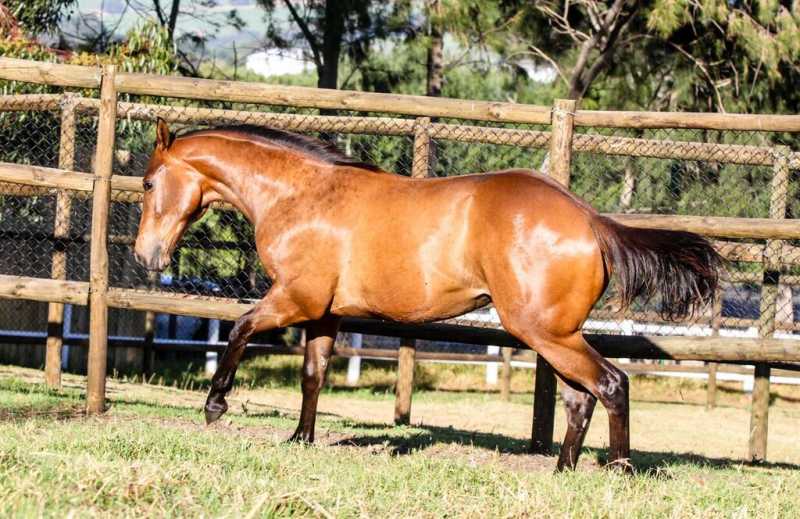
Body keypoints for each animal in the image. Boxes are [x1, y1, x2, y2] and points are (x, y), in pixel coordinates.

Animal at [134, 119, 722, 471]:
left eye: (146, 183)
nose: (146, 256)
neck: (300, 195)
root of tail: (589, 220)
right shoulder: (324, 314)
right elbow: (313, 375)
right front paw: (300, 439)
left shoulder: (294, 299)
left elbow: (238, 328)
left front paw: (214, 406)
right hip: (555, 334)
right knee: (582, 396)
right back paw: (562, 470)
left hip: (543, 331)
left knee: (611, 383)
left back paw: (619, 469)